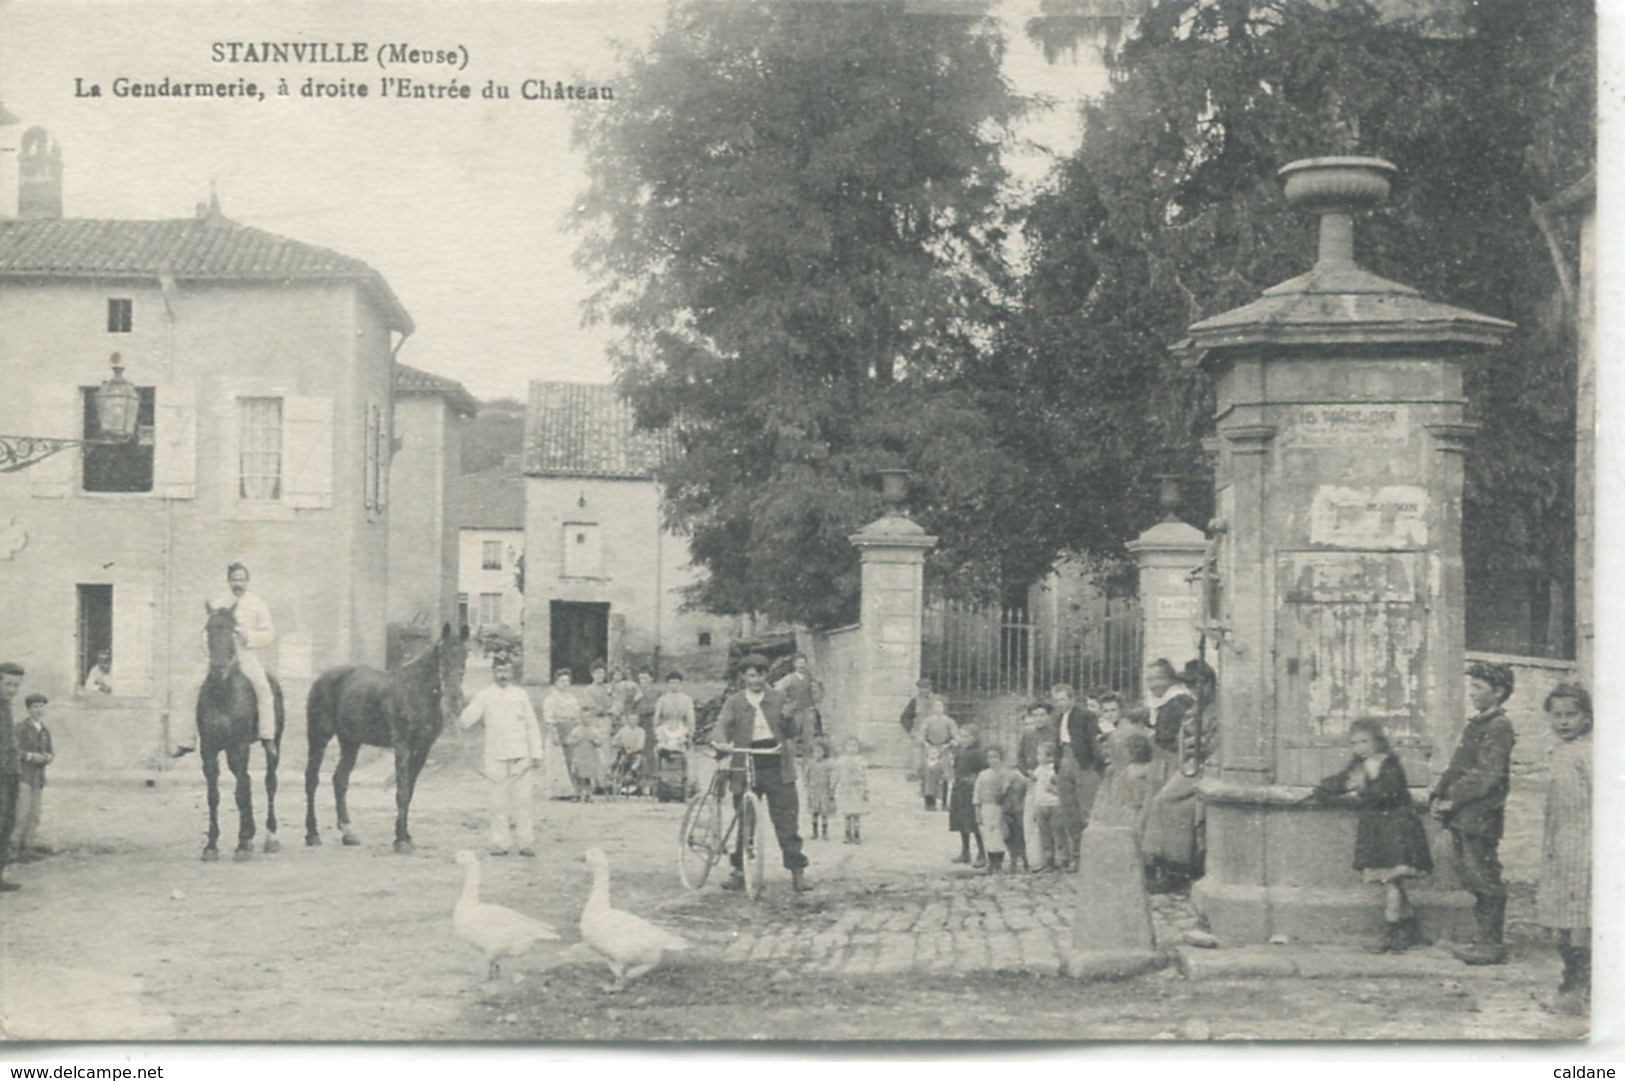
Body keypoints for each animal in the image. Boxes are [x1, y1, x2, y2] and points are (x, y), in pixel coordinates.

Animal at [196, 607, 286, 858]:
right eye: (209, 628)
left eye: (234, 631)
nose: (218, 667)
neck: (223, 693)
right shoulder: (209, 749)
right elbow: (213, 795)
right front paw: (211, 845)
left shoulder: (240, 746)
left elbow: (239, 792)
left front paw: (242, 844)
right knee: (245, 779)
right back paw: (249, 834)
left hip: (272, 745)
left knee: (268, 782)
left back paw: (270, 837)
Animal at [305, 624, 471, 851]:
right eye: (442, 655)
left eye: (465, 655)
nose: (455, 700)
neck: (416, 692)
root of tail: (320, 679)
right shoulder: (402, 747)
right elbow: (402, 791)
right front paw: (400, 840)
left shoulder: (422, 750)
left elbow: (409, 791)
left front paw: (406, 836)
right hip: (319, 737)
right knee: (312, 779)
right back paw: (312, 834)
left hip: (350, 742)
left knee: (340, 779)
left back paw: (348, 833)